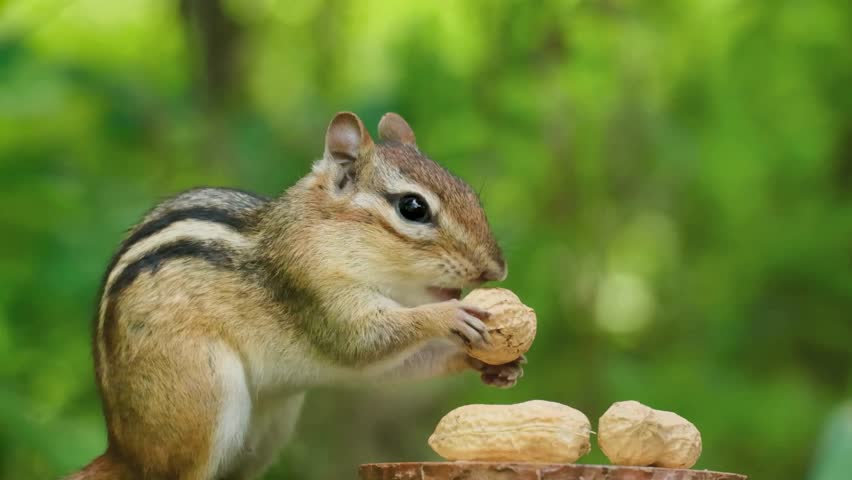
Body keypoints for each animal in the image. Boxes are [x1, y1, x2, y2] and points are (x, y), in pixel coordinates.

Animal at [68, 112, 523, 480]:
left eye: (469, 191)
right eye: (413, 208)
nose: (495, 269)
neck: (324, 233)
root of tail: (125, 452)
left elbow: (398, 364)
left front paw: (497, 365)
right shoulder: (313, 290)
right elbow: (363, 341)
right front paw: (449, 316)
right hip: (201, 399)